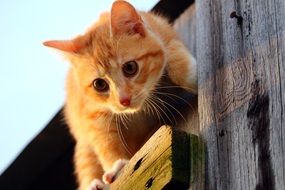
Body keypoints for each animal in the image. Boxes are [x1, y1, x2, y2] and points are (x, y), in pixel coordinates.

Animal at [43, 0, 196, 189]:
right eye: (99, 84)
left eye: (130, 67)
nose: (124, 100)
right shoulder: (91, 113)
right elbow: (104, 140)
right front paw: (117, 165)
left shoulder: (165, 32)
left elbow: (173, 53)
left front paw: (193, 76)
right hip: (83, 148)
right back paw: (94, 184)